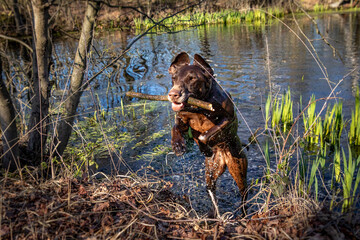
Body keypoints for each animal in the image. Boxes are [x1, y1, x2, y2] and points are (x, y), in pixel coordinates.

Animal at [168, 51, 248, 215]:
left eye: (192, 78)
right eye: (174, 78)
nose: (173, 94)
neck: (198, 106)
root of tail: (223, 158)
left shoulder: (228, 118)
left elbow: (205, 135)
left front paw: (205, 148)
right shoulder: (182, 120)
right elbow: (176, 128)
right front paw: (178, 145)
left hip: (239, 169)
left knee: (244, 191)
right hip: (211, 172)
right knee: (212, 190)